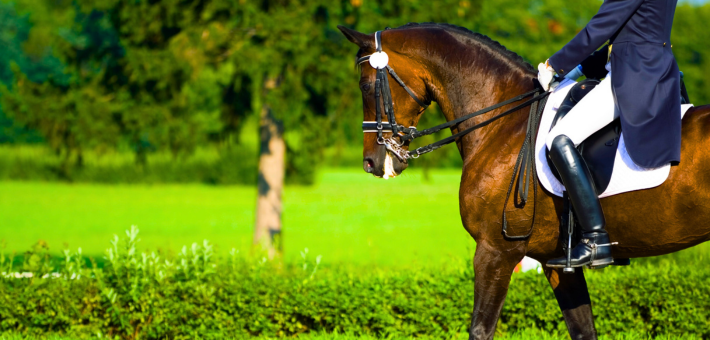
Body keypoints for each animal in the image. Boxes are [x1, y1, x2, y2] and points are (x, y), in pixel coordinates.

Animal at [336, 22, 710, 338]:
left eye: (366, 86)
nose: (372, 163)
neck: (503, 121)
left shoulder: (495, 251)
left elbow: (481, 329)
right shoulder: (557, 263)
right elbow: (583, 329)